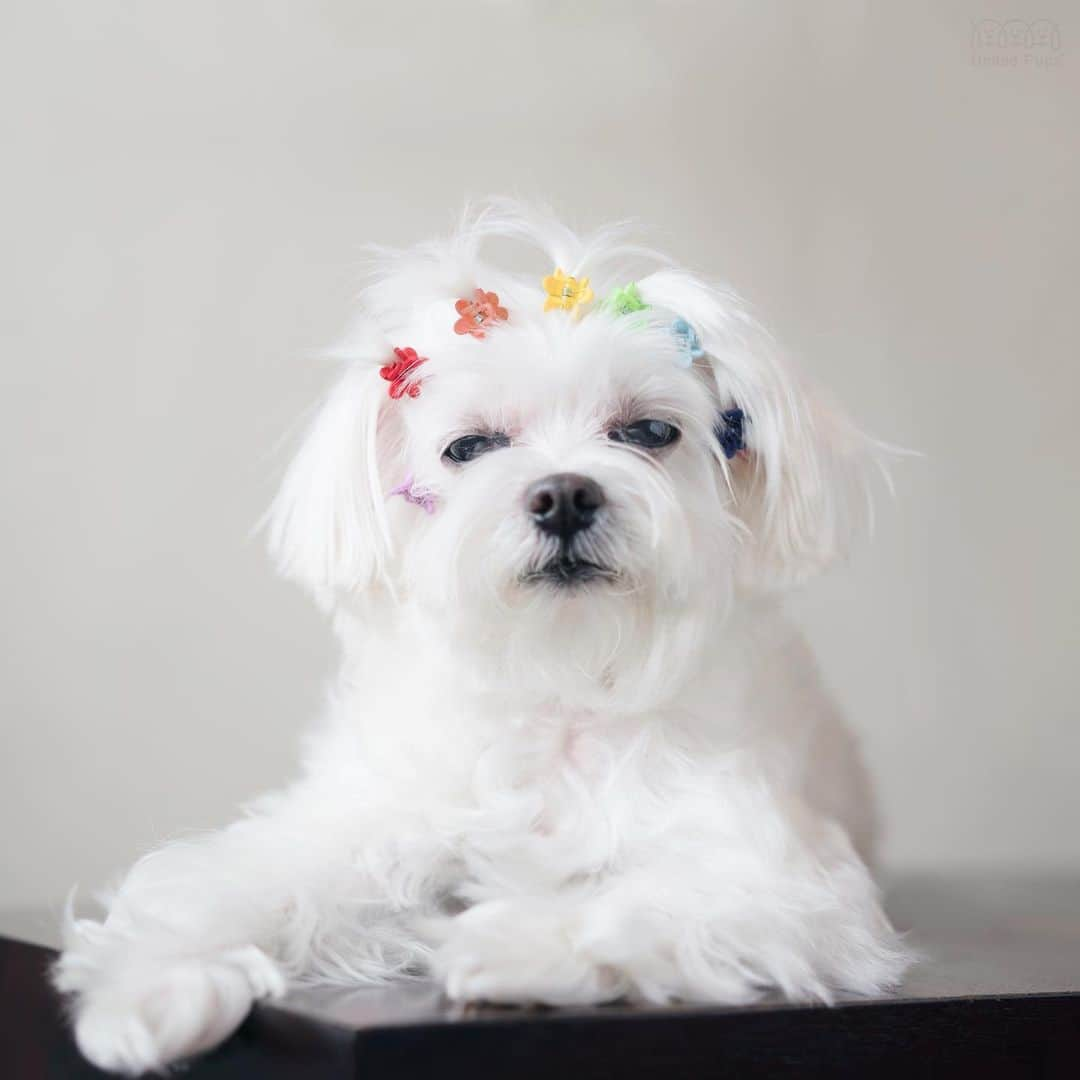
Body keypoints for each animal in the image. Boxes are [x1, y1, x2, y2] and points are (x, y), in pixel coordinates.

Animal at [52, 200, 911, 1071]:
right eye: (468, 447)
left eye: (648, 432)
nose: (565, 494)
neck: (557, 683)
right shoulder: (365, 814)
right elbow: (234, 883)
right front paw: (151, 983)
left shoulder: (779, 871)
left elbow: (648, 901)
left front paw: (517, 941)